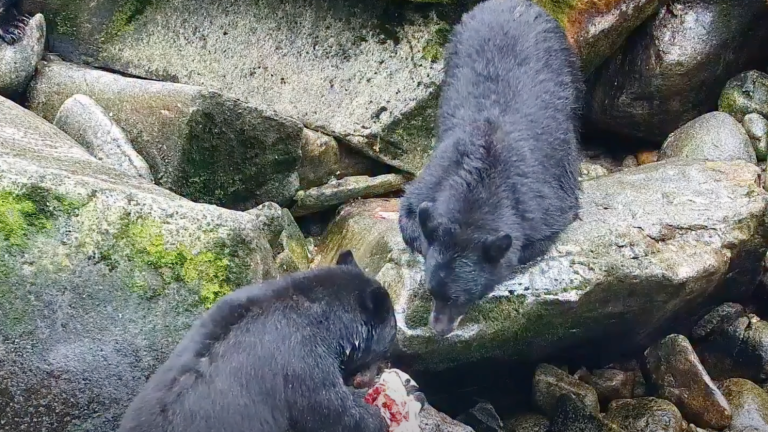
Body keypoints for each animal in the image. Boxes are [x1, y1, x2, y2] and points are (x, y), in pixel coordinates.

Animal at [398, 0, 583, 337]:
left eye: (459, 298)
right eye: (432, 292)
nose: (437, 329)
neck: (481, 179)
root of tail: (510, 3)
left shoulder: (539, 200)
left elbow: (538, 235)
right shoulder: (441, 169)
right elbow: (411, 211)